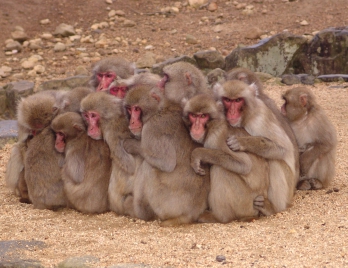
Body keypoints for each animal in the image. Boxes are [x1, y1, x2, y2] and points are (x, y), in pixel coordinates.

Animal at [122, 85, 209, 226]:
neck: (160, 109)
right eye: (130, 109)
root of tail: (191, 214)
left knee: (148, 167)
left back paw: (140, 212)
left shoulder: (153, 128)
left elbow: (166, 163)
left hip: (166, 204)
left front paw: (131, 144)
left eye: (137, 109)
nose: (132, 122)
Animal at [182, 94, 274, 222]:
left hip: (244, 202)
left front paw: (198, 153)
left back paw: (219, 217)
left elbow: (244, 164)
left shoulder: (217, 136)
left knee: (221, 169)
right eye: (194, 115)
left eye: (203, 116)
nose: (196, 126)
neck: (211, 126)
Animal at [218, 80, 296, 215]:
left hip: (289, 188)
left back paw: (272, 208)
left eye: (238, 100)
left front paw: (243, 142)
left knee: (275, 162)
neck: (246, 117)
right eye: (227, 100)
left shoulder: (260, 119)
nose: (232, 112)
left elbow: (284, 148)